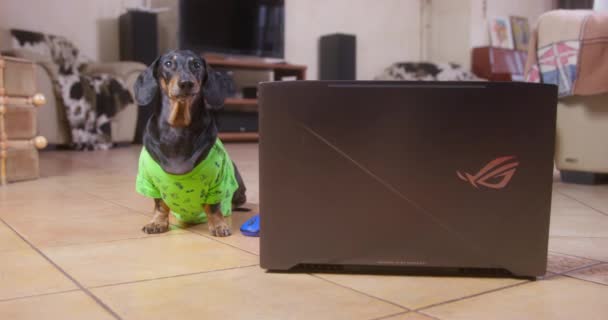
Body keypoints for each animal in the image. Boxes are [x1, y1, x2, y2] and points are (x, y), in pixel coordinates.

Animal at [134, 49, 246, 235]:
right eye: (168, 63)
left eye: (196, 65)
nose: (186, 83)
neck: (178, 128)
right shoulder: (150, 181)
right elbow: (160, 205)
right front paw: (157, 222)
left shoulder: (218, 181)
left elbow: (213, 206)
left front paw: (218, 224)